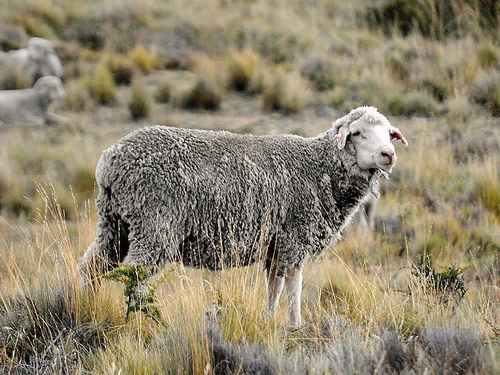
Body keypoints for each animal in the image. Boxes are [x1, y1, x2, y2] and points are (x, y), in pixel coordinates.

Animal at [80, 106, 408, 328]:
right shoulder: (294, 238)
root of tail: (110, 162)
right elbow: (294, 287)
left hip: (115, 223)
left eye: (390, 134)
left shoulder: (276, 246)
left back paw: (88, 306)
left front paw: (268, 319)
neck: (318, 167)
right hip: (154, 225)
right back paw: (138, 323)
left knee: (92, 266)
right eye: (358, 133)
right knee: (132, 277)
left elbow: (274, 287)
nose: (388, 154)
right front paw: (295, 325)